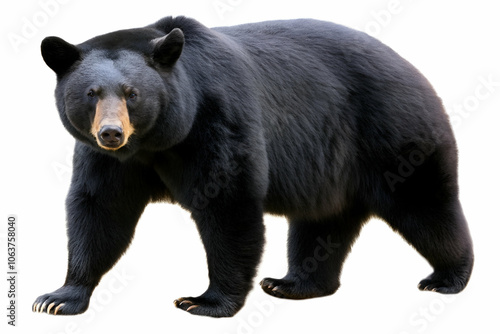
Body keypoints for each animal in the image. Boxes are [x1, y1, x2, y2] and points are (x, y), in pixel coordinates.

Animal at [34, 16, 472, 318]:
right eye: (91, 94)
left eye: (132, 93)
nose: (111, 132)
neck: (159, 139)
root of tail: (415, 69)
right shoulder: (109, 159)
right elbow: (100, 209)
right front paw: (59, 298)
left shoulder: (218, 116)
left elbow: (229, 201)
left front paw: (204, 301)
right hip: (332, 166)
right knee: (323, 222)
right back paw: (292, 283)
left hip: (391, 133)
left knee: (424, 205)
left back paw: (447, 278)